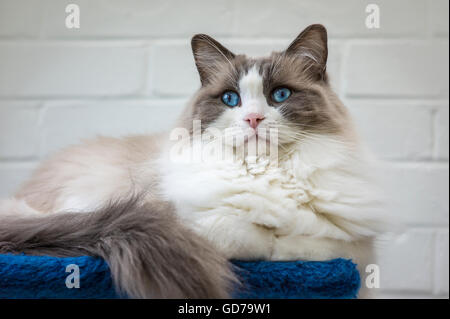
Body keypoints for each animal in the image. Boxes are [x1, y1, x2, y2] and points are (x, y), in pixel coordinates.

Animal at [0, 25, 384, 300]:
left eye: (280, 95)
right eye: (230, 99)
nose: (253, 119)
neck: (264, 173)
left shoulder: (355, 251)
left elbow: (316, 244)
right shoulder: (164, 216)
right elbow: (245, 237)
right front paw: (265, 240)